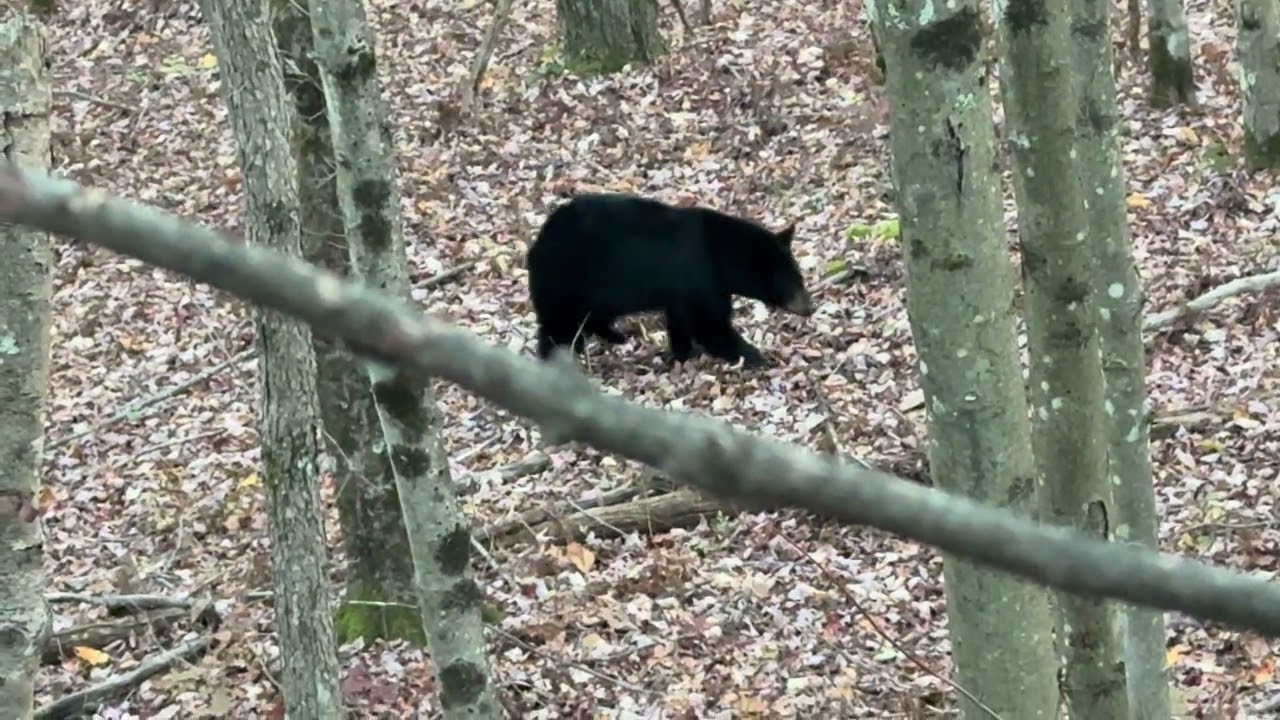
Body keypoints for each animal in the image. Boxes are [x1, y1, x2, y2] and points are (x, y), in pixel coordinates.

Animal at [525, 192, 815, 368]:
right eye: (792, 282)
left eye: (800, 277)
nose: (810, 308)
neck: (722, 256)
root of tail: (536, 246)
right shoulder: (701, 278)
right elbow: (709, 323)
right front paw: (755, 355)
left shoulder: (685, 290)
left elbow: (681, 320)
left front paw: (682, 353)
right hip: (566, 282)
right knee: (557, 327)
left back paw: (617, 335)